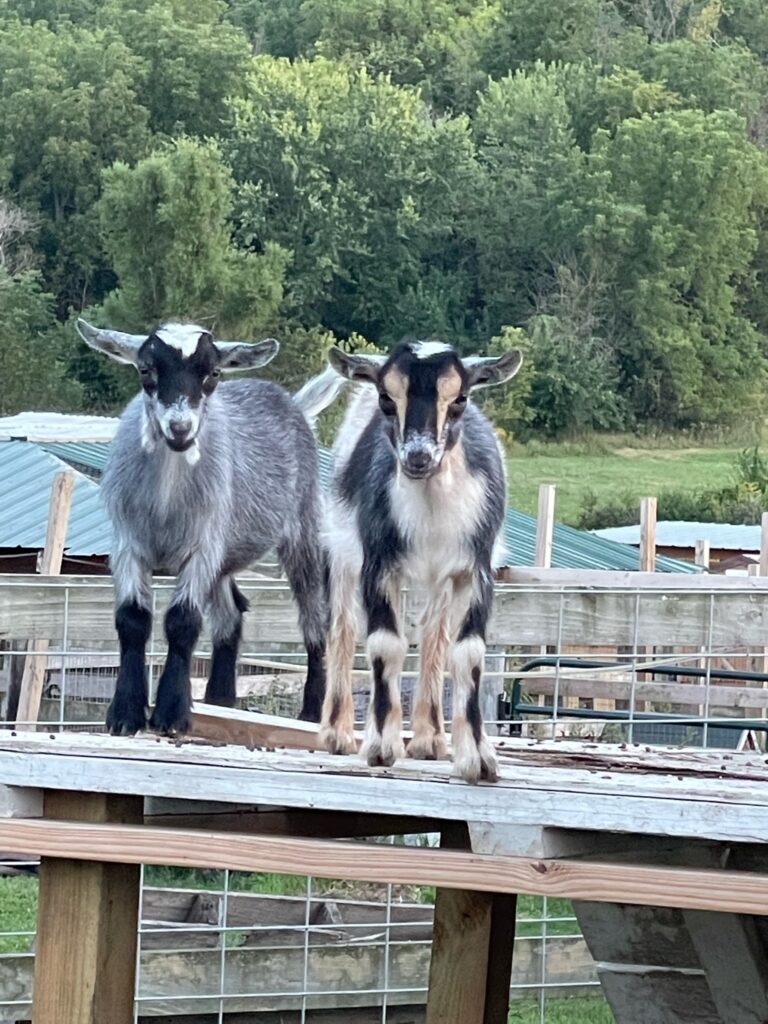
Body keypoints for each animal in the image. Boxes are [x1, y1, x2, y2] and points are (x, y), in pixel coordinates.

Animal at [77, 319, 339, 736]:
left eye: (213, 373)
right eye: (146, 370)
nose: (180, 428)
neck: (166, 503)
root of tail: (295, 403)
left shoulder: (201, 548)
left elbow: (183, 622)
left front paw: (171, 714)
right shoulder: (127, 543)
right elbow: (132, 620)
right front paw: (125, 714)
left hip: (304, 529)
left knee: (315, 620)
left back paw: (312, 713)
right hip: (225, 557)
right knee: (231, 615)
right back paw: (220, 701)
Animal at [316, 340, 522, 783]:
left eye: (460, 398)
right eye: (385, 397)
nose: (418, 457)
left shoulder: (475, 569)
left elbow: (468, 652)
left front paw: (478, 758)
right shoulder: (378, 562)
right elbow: (385, 644)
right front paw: (380, 745)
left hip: (439, 580)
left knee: (433, 634)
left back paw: (430, 740)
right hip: (341, 552)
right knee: (342, 628)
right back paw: (338, 734)